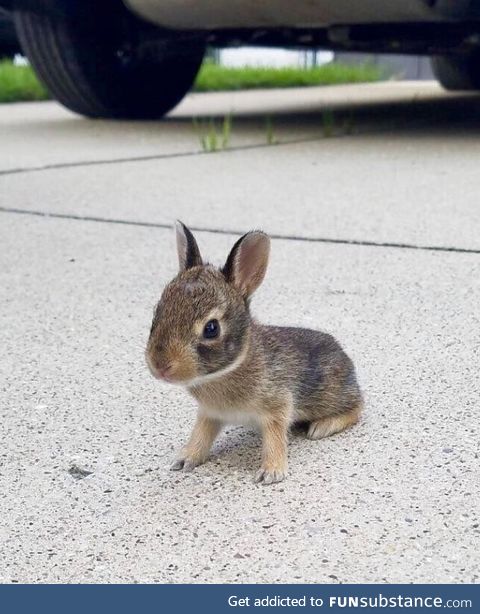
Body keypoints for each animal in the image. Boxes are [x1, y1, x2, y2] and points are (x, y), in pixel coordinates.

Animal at [146, 221, 364, 486]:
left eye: (211, 328)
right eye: (157, 313)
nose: (160, 365)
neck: (227, 370)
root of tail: (345, 356)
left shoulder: (277, 406)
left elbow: (275, 437)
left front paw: (271, 472)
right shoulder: (209, 414)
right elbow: (201, 434)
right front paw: (185, 458)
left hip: (331, 395)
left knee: (357, 407)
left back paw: (322, 427)